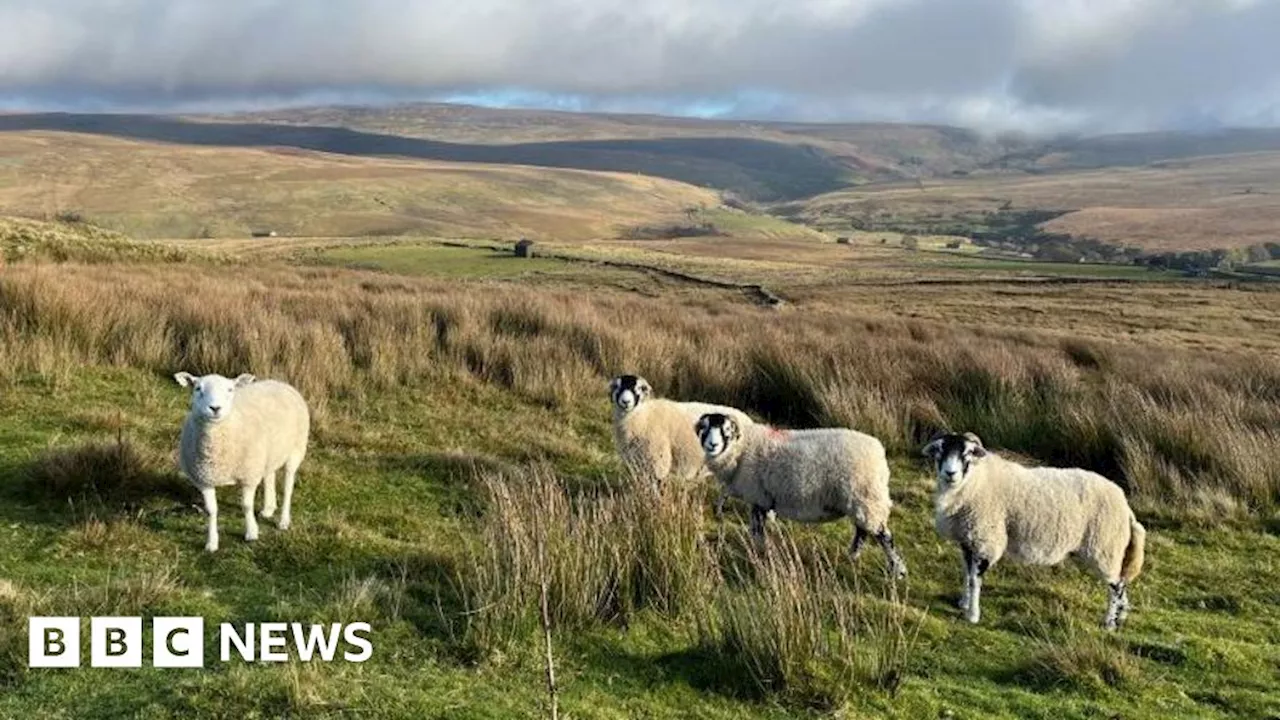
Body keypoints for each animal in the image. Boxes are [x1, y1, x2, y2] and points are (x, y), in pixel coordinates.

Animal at [174, 368, 311, 548]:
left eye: (230, 390)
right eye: (198, 389)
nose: (215, 408)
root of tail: (278, 382)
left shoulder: (249, 475)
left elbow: (246, 505)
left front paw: (252, 532)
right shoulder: (204, 479)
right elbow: (211, 510)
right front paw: (212, 542)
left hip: (295, 449)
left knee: (288, 488)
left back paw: (283, 521)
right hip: (269, 453)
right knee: (269, 475)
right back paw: (268, 508)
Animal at [606, 371, 747, 489]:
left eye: (640, 388)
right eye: (617, 387)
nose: (626, 402)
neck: (644, 416)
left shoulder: (658, 461)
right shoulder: (636, 462)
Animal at [691, 412, 911, 573]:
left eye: (726, 430)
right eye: (704, 428)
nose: (712, 445)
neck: (743, 447)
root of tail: (879, 453)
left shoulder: (759, 497)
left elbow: (757, 531)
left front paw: (759, 553)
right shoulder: (763, 499)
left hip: (866, 496)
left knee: (883, 535)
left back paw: (897, 570)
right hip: (861, 500)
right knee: (862, 530)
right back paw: (853, 556)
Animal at [926, 430, 1146, 627]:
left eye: (968, 453)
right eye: (939, 450)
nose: (950, 473)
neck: (975, 481)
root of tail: (1126, 507)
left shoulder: (985, 541)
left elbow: (974, 580)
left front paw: (972, 615)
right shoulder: (967, 540)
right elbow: (966, 573)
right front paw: (964, 603)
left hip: (1105, 548)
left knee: (1116, 586)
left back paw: (1109, 622)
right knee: (1122, 581)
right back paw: (1121, 615)